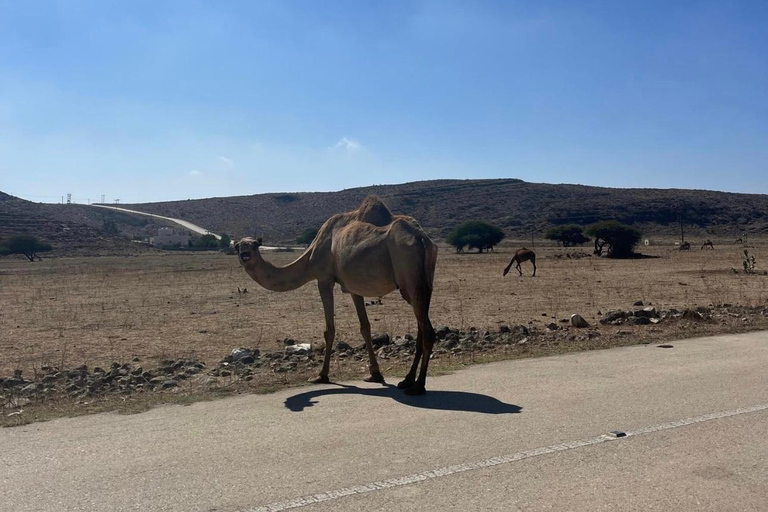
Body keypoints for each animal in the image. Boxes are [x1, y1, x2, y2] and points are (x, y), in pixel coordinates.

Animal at [234, 196, 438, 396]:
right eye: (238, 246)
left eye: (254, 245)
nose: (245, 254)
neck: (310, 256)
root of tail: (422, 239)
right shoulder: (354, 287)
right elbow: (365, 327)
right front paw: (375, 374)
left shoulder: (324, 280)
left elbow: (329, 330)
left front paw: (321, 375)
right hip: (422, 285)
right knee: (422, 327)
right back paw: (407, 380)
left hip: (410, 279)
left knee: (427, 331)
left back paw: (418, 386)